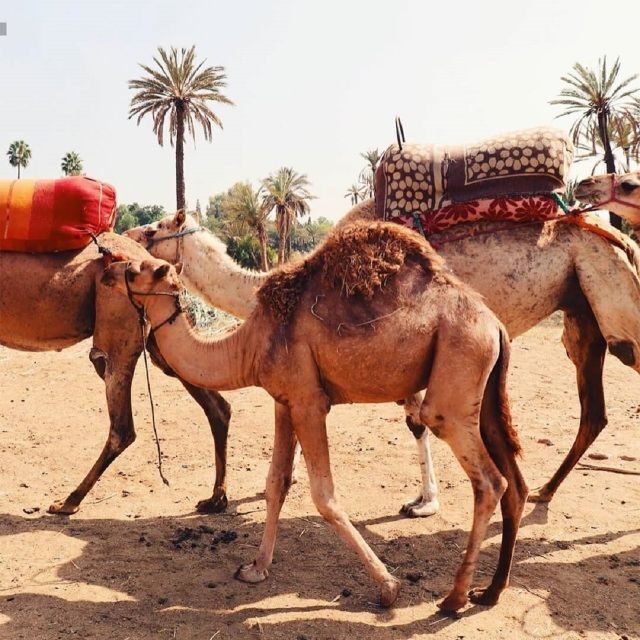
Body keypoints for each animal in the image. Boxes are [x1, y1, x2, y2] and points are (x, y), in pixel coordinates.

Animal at [0, 233, 232, 515]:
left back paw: (68, 502)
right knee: (216, 406)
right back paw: (216, 499)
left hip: (118, 331)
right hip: (158, 338)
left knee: (122, 427)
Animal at [103, 220, 528, 612]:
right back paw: (489, 591)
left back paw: (454, 597)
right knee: (514, 483)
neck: (246, 343)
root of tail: (495, 325)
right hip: (483, 394)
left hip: (454, 378)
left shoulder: (309, 401)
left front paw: (388, 587)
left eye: (139, 265)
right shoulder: (284, 398)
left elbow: (324, 496)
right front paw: (255, 568)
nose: (109, 260)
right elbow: (276, 483)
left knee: (488, 480)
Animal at [126, 200, 640, 515]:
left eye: (154, 229)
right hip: (582, 314)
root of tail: (621, 240)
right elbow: (413, 421)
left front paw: (425, 503)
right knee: (593, 410)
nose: (125, 233)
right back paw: (545, 492)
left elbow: (416, 421)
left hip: (612, 298)